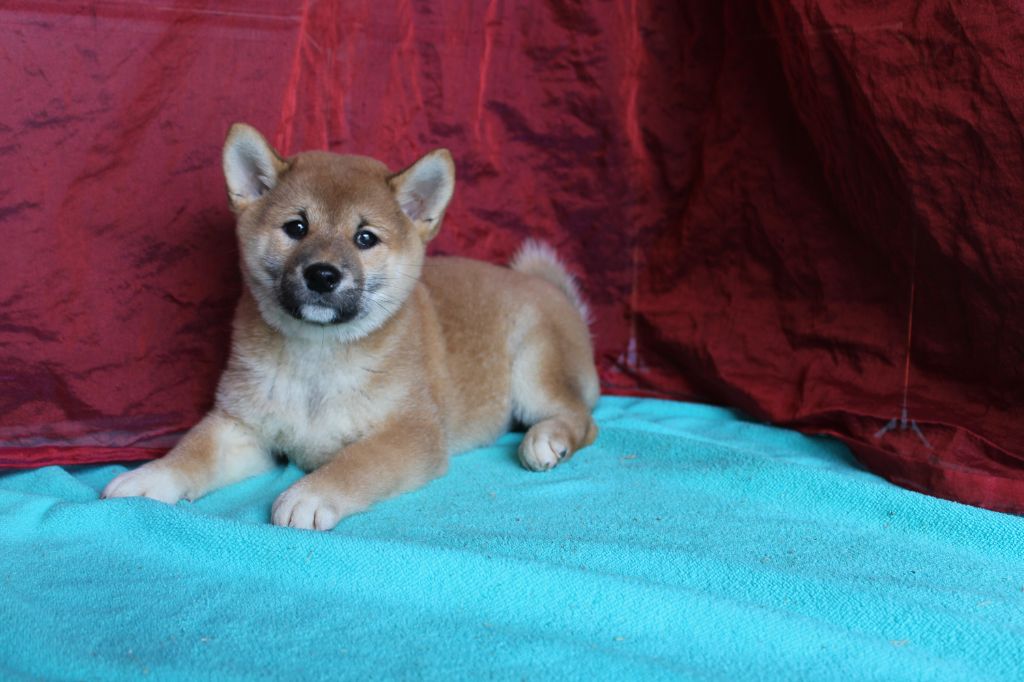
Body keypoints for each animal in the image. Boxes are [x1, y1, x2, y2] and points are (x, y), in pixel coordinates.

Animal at [101, 123, 599, 531]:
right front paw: (152, 475)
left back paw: (545, 439)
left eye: (365, 238)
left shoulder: (411, 433)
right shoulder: (241, 428)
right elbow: (193, 450)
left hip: (534, 368)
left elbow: (358, 461)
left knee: (584, 420)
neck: (317, 356)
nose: (322, 275)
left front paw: (311, 493)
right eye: (296, 227)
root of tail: (550, 289)